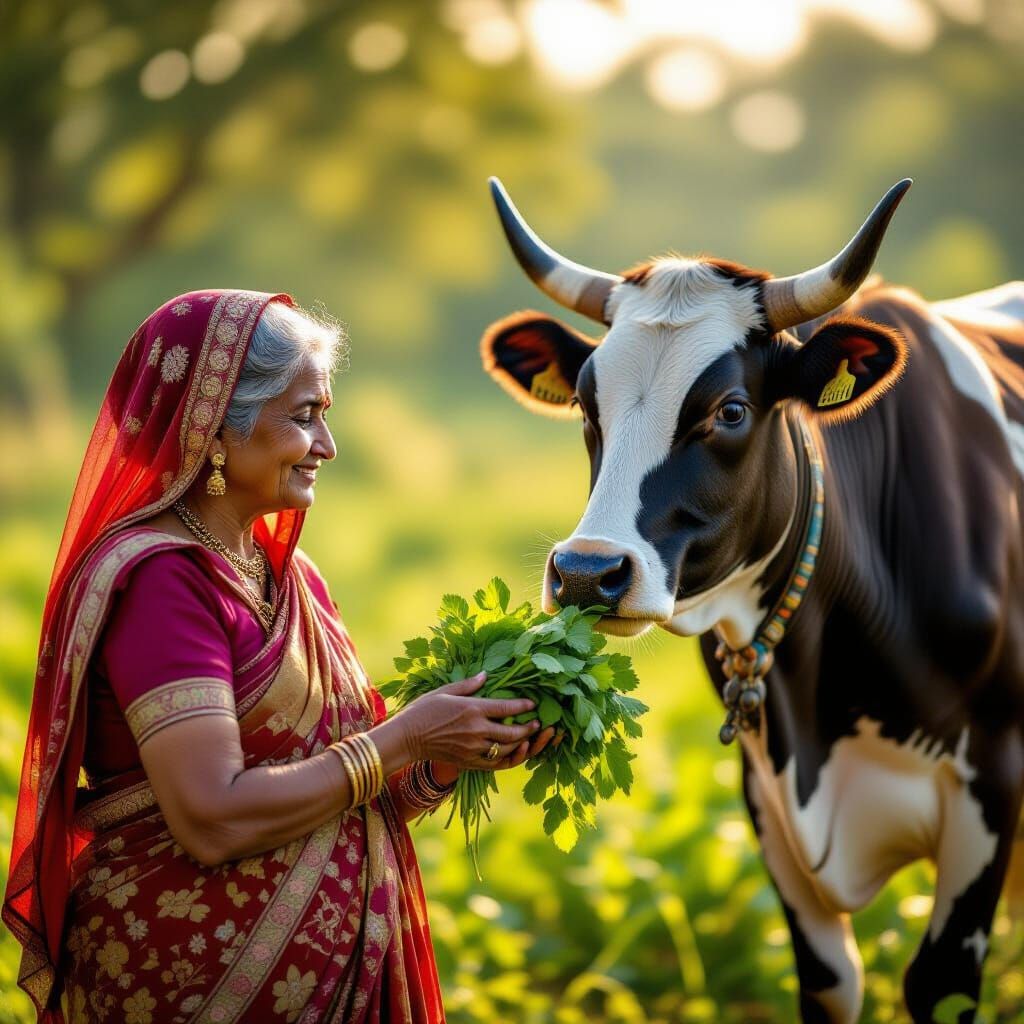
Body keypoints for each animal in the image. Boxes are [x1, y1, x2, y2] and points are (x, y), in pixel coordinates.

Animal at [478, 177, 1024, 1024]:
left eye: (730, 411)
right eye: (586, 407)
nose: (585, 573)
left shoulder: (991, 785)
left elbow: (938, 984)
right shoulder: (767, 802)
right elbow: (831, 981)